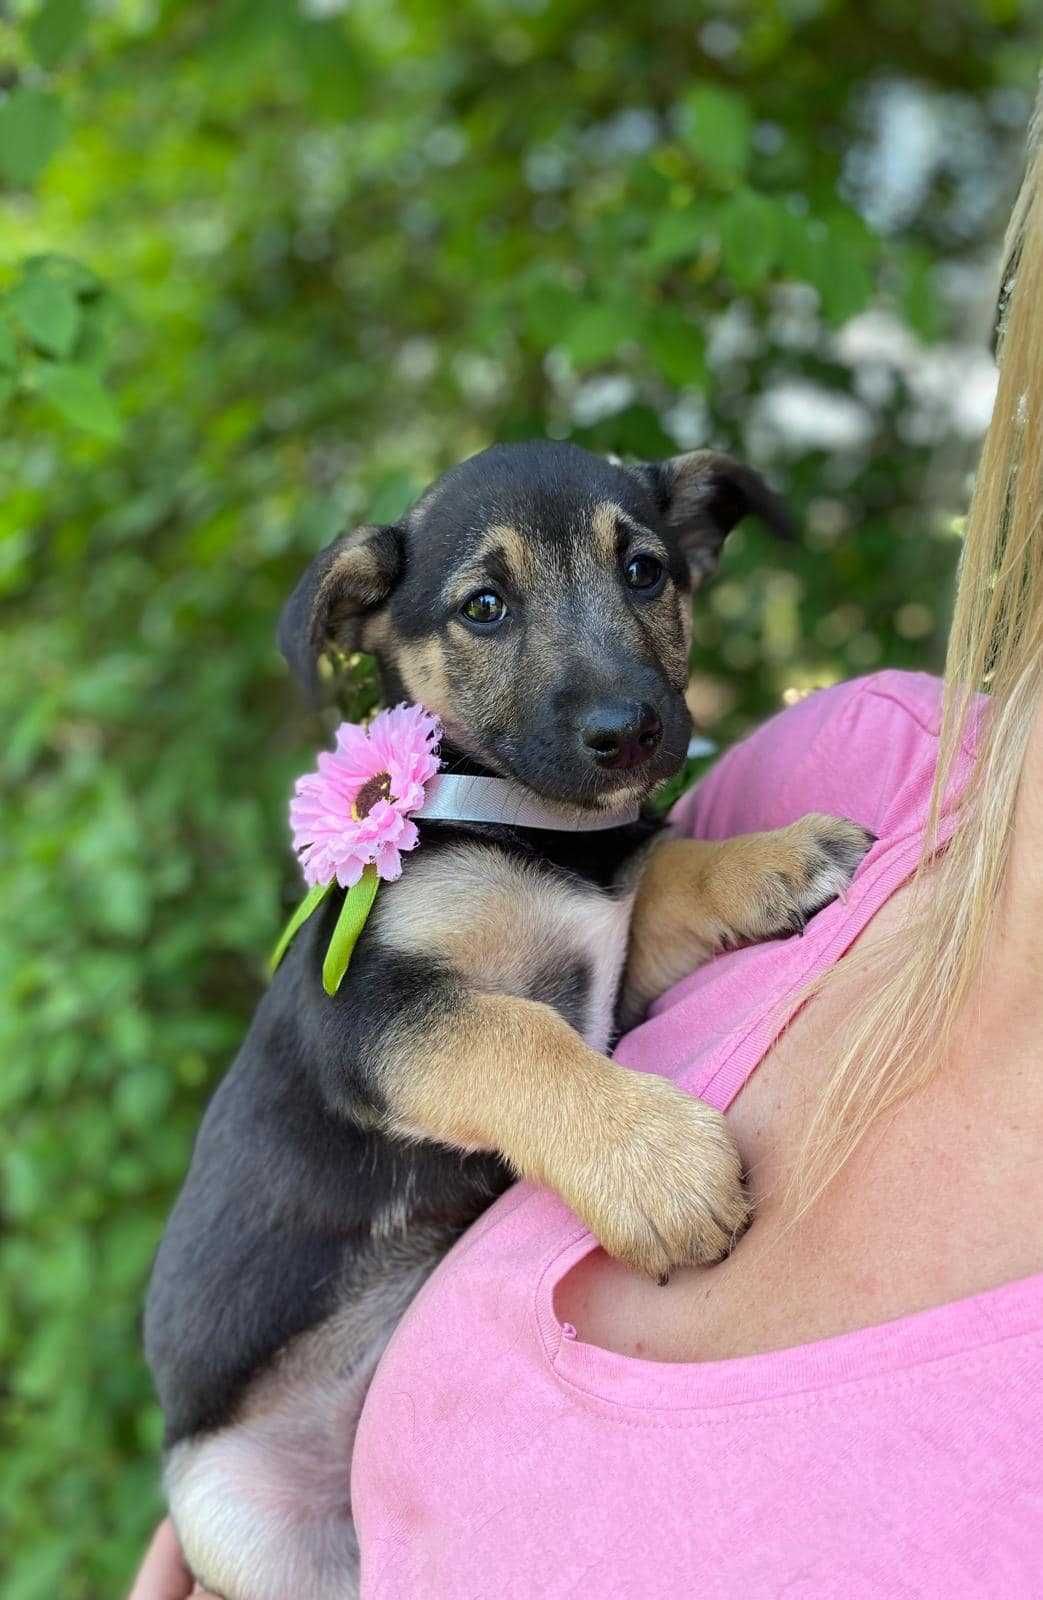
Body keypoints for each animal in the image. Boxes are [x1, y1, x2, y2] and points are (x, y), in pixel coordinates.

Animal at [142, 438, 870, 1600]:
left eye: (644, 572)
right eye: (483, 606)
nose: (628, 732)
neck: (533, 829)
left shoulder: (609, 954)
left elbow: (667, 873)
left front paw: (775, 855)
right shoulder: (376, 1015)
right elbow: (519, 1037)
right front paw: (655, 1168)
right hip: (238, 1519)